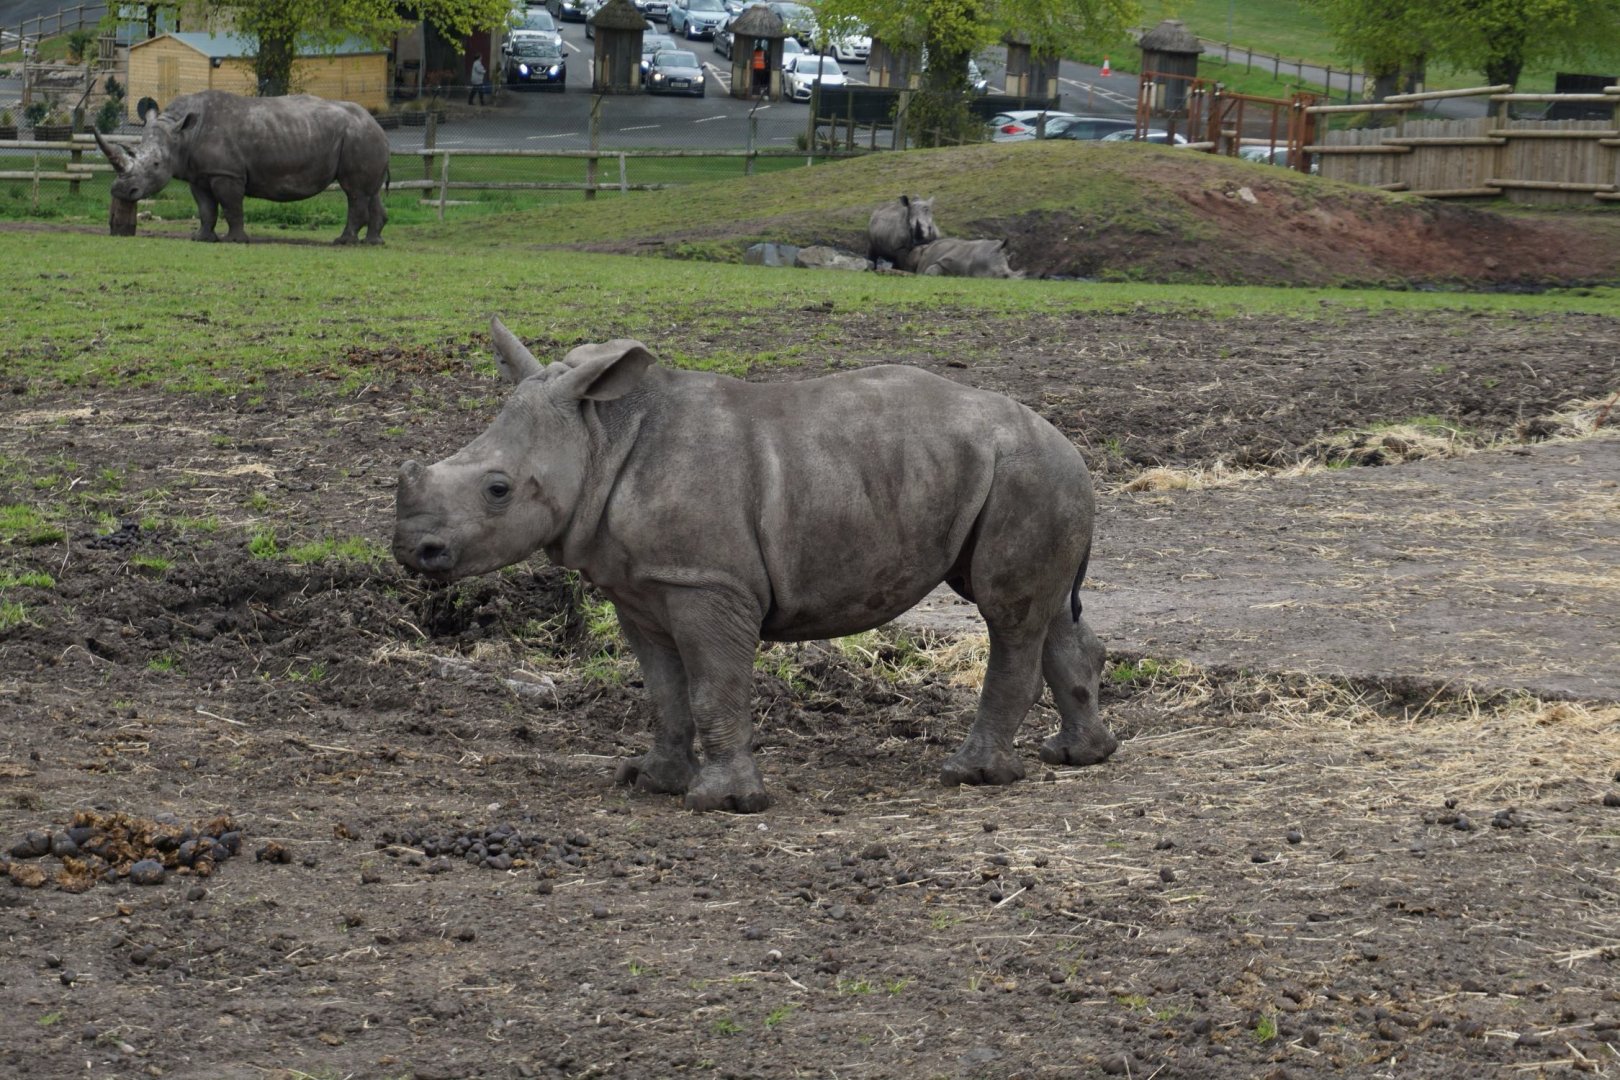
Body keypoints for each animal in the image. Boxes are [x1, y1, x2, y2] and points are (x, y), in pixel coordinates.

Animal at [94, 90, 390, 244]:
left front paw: (236, 240)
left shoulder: (227, 173)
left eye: (156, 164)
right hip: (364, 138)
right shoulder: (200, 174)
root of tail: (378, 125)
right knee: (370, 192)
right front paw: (202, 238)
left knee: (354, 191)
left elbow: (231, 206)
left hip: (358, 137)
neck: (182, 134)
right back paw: (373, 243)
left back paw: (343, 242)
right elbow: (206, 209)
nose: (121, 191)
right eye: (132, 152)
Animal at [393, 319, 1117, 812]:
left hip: (1025, 472)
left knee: (1006, 613)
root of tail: (1067, 441)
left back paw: (969, 775)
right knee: (1046, 612)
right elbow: (664, 691)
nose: (411, 551)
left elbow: (713, 685)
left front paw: (722, 802)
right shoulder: (642, 587)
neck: (602, 437)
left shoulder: (706, 584)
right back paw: (1079, 757)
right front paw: (651, 782)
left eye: (498, 490)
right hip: (1018, 473)